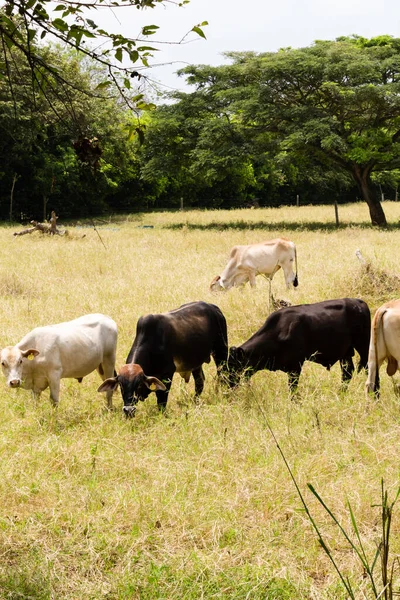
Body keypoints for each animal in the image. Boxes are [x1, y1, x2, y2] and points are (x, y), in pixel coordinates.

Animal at [97, 300, 228, 418]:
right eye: (121, 386)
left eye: (138, 385)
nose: (128, 410)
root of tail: (213, 307)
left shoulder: (167, 374)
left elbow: (161, 399)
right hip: (196, 362)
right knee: (200, 382)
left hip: (221, 351)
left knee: (223, 374)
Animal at [225, 298, 372, 392]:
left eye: (233, 367)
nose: (228, 385)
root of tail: (359, 302)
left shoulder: (295, 367)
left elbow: (293, 390)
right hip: (345, 352)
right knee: (347, 372)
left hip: (364, 346)